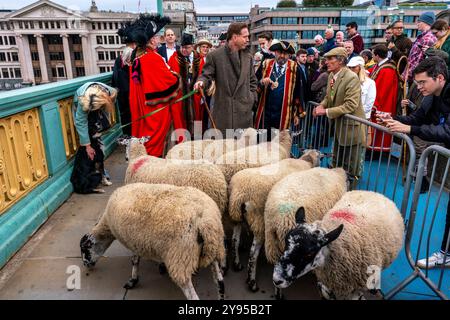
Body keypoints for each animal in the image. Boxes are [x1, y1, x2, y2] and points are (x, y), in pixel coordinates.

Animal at [80, 182, 225, 300]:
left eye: (85, 250)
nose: (86, 265)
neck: (107, 224)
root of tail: (205, 221)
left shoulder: (133, 241)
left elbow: (134, 261)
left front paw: (132, 280)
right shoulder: (141, 241)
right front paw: (160, 266)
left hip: (180, 257)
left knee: (192, 295)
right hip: (214, 250)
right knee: (220, 283)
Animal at [229, 149, 320, 292]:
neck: (305, 161)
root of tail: (240, 195)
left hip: (236, 216)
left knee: (235, 240)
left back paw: (237, 264)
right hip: (259, 221)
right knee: (253, 253)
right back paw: (252, 282)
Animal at [272, 190, 406, 300]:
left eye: (310, 253)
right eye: (286, 241)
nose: (277, 279)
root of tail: (373, 192)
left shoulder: (354, 290)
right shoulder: (327, 286)